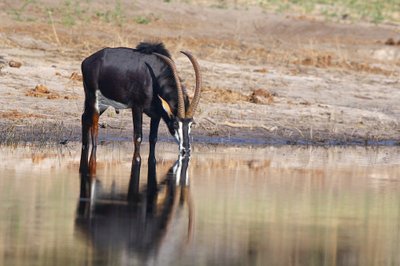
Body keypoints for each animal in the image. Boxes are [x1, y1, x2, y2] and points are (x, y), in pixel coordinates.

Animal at [78, 42, 202, 183]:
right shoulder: (137, 107)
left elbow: (153, 138)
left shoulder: (156, 115)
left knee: (85, 118)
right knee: (93, 125)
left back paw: (85, 145)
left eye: (191, 124)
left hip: (103, 103)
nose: (186, 149)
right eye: (176, 123)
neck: (154, 79)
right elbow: (138, 137)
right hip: (93, 98)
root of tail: (87, 61)